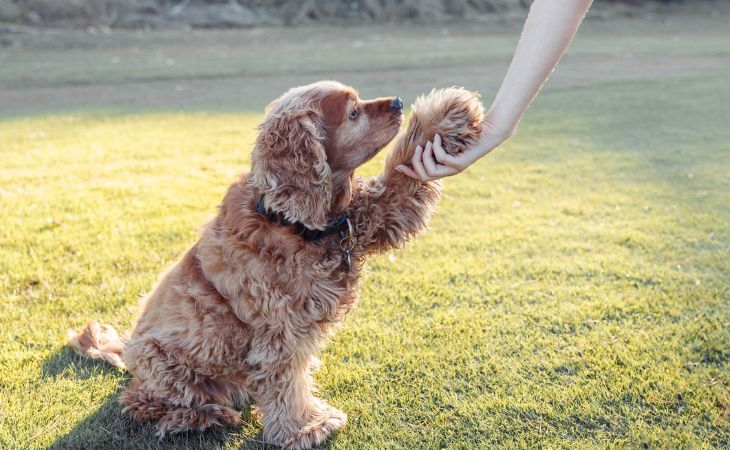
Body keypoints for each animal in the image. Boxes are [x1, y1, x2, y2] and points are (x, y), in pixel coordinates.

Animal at [68, 81, 484, 450]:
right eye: (353, 112)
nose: (398, 101)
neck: (292, 222)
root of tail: (126, 352)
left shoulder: (369, 218)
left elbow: (401, 180)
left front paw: (447, 116)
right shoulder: (280, 328)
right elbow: (287, 382)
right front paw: (306, 427)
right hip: (165, 364)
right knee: (144, 402)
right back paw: (201, 416)